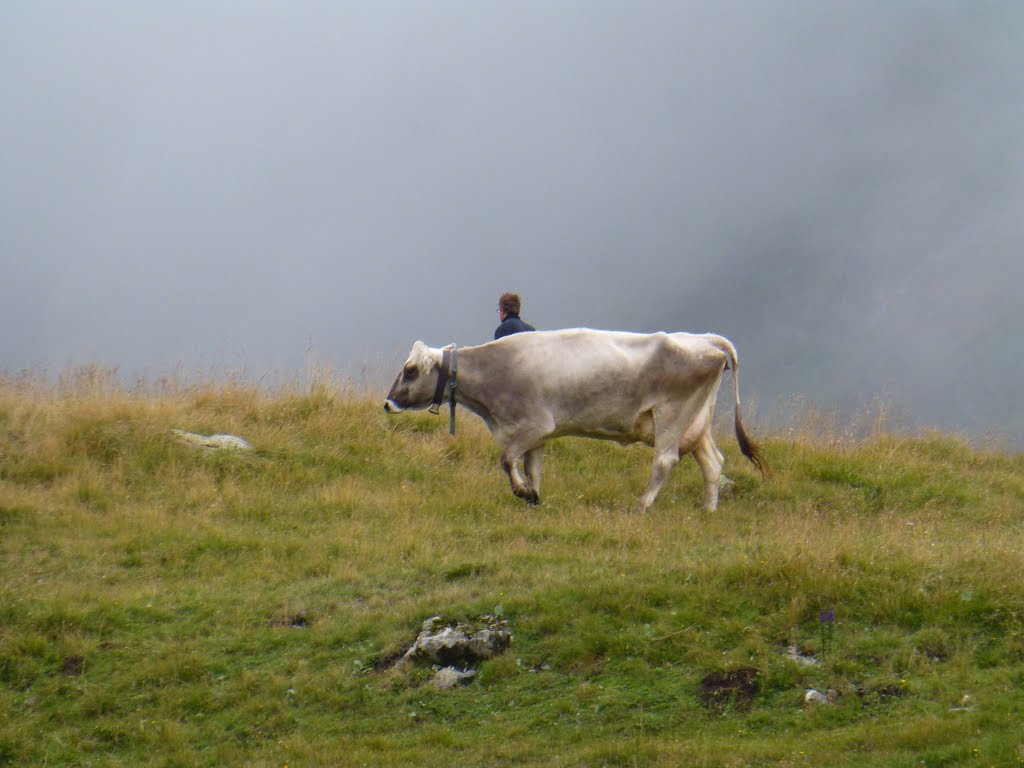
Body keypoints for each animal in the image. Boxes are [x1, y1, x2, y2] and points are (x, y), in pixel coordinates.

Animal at [385, 329, 770, 514]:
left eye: (410, 370)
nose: (388, 403)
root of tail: (705, 339)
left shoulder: (532, 425)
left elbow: (507, 460)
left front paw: (523, 492)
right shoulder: (538, 435)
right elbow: (532, 467)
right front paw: (534, 495)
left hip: (671, 415)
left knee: (665, 460)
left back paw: (641, 506)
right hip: (696, 421)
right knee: (712, 462)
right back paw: (708, 509)